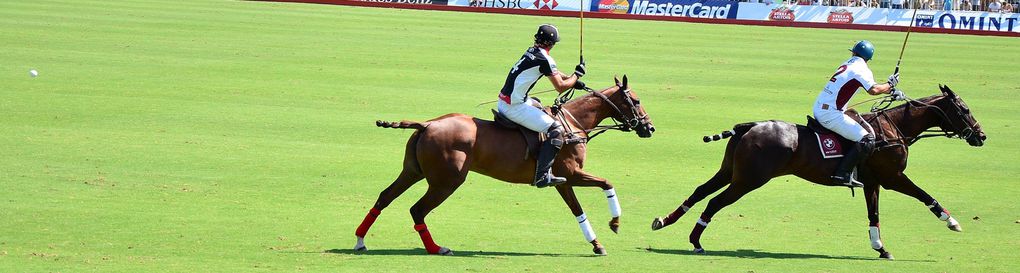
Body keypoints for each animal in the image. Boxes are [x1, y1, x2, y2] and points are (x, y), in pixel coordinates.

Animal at [350, 76, 652, 255]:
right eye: (636, 101)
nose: (649, 128)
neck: (573, 124)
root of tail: (426, 124)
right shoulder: (571, 173)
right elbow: (607, 183)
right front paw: (614, 223)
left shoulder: (562, 181)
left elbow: (577, 210)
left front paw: (597, 244)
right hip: (447, 181)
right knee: (417, 210)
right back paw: (436, 248)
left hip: (413, 171)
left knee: (385, 197)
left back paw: (361, 241)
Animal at [648, 84, 983, 257]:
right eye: (965, 110)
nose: (981, 136)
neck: (893, 129)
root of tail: (749, 126)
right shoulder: (892, 177)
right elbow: (925, 195)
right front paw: (952, 221)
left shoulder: (872, 182)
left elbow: (873, 214)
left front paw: (880, 247)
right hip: (749, 179)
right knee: (714, 201)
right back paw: (696, 241)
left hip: (731, 171)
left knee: (700, 191)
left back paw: (664, 221)